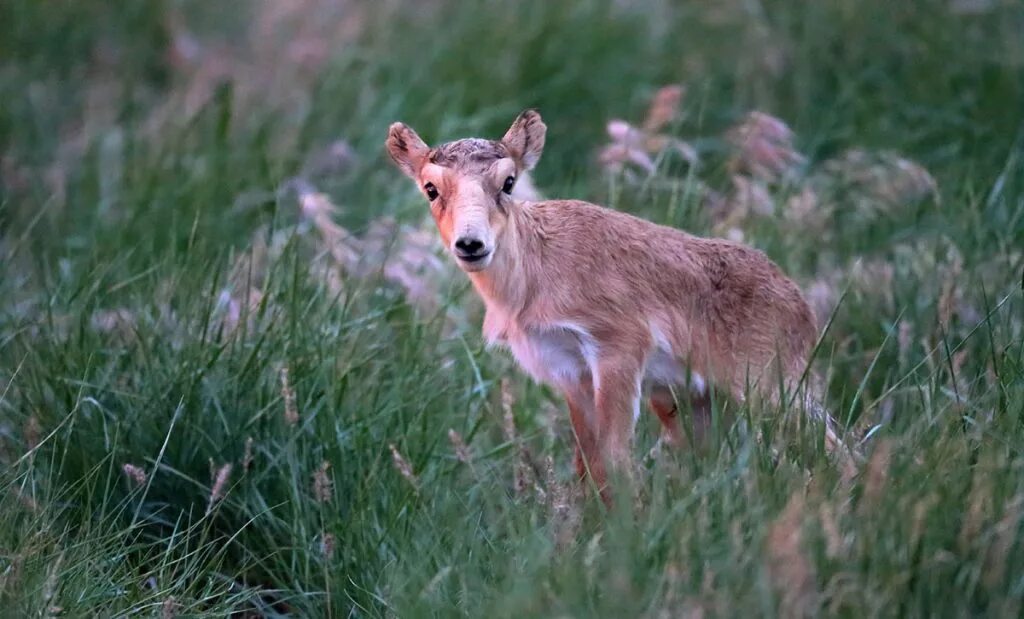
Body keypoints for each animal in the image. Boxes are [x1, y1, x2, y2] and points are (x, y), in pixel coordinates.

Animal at [387, 110, 843, 493]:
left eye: (509, 182)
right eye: (430, 188)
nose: (471, 244)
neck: (533, 276)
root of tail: (800, 305)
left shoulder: (618, 349)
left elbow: (615, 458)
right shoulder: (568, 370)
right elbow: (587, 464)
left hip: (771, 386)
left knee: (837, 449)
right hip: (692, 401)